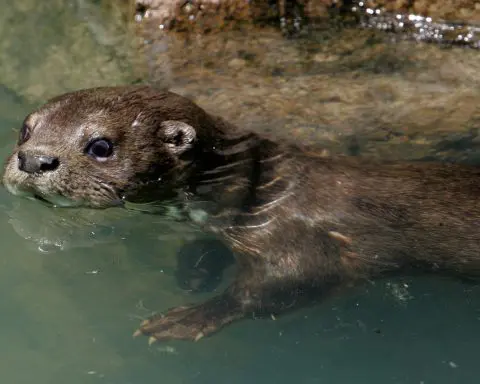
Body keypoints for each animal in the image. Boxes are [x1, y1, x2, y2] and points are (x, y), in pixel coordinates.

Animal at [1, 85, 478, 344]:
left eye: (101, 146)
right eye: (26, 128)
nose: (34, 160)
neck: (259, 191)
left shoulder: (297, 240)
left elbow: (286, 283)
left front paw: (186, 318)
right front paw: (195, 266)